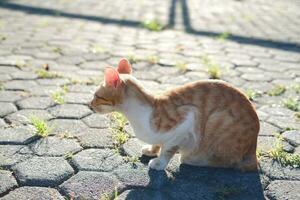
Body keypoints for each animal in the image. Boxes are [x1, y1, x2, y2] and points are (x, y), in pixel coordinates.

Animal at [89, 58, 260, 172]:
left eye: (97, 96)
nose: (89, 105)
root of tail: (254, 147)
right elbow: (158, 143)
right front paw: (152, 150)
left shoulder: (187, 120)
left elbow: (167, 150)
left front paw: (159, 163)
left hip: (217, 120)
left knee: (231, 162)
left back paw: (192, 159)